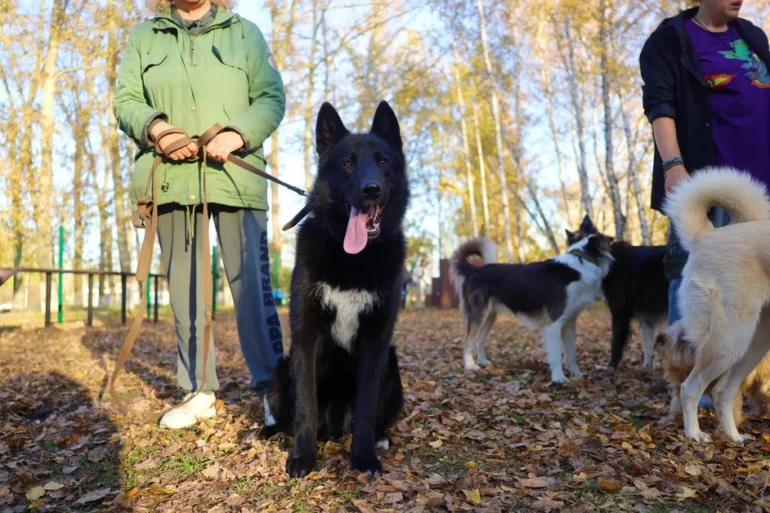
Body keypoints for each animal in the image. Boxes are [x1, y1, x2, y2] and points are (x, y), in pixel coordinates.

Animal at [266, 100, 408, 476]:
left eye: (383, 162)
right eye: (348, 164)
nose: (371, 189)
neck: (351, 259)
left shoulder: (375, 342)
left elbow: (367, 407)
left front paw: (364, 458)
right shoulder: (306, 336)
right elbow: (306, 405)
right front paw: (303, 456)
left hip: (392, 363)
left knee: (374, 417)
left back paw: (380, 437)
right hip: (280, 370)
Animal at [448, 215, 608, 380]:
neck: (581, 260)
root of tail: (474, 270)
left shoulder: (570, 322)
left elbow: (571, 354)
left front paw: (576, 374)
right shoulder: (553, 323)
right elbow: (557, 355)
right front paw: (559, 378)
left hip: (490, 316)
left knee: (479, 339)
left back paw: (482, 361)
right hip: (478, 316)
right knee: (467, 342)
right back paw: (470, 366)